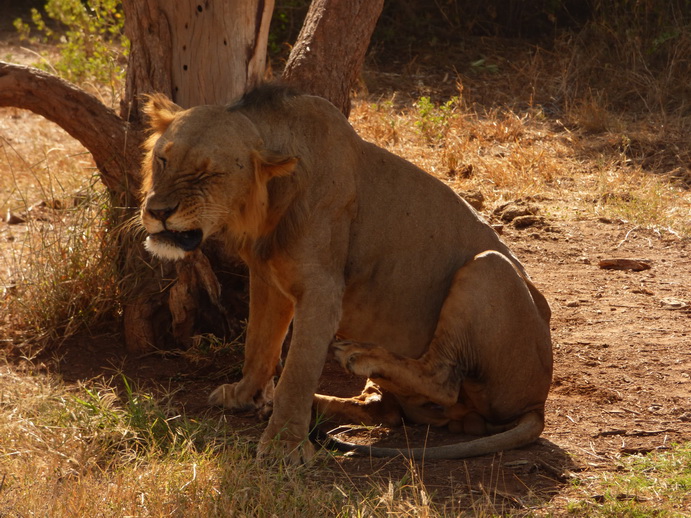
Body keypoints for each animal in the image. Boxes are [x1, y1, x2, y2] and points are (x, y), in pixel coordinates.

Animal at [142, 87, 556, 466]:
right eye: (162, 159)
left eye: (208, 173)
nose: (158, 211)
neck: (268, 203)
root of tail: (537, 404)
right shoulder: (267, 277)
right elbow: (258, 346)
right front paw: (244, 396)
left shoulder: (322, 290)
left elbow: (297, 370)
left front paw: (284, 445)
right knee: (386, 410)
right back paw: (310, 401)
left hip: (489, 267)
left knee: (444, 380)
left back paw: (357, 357)